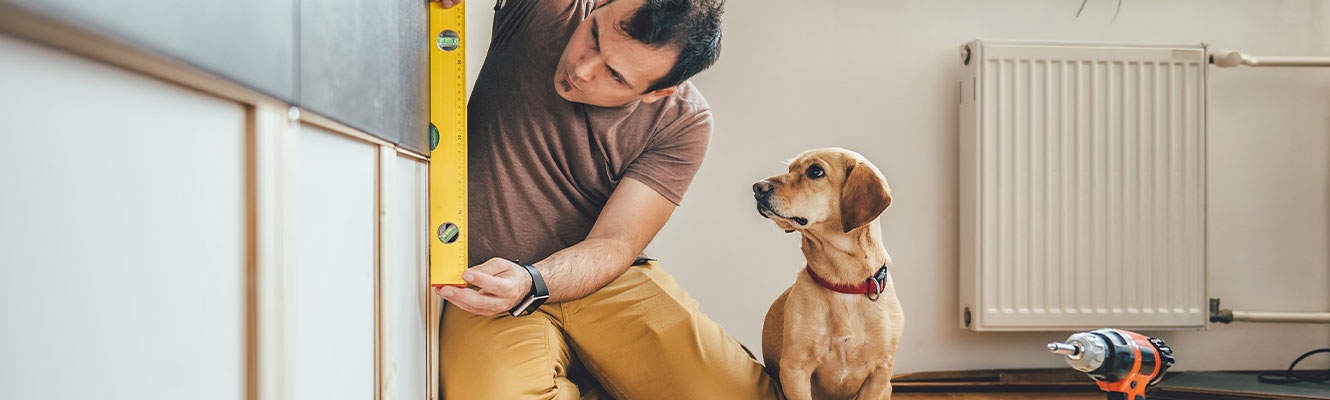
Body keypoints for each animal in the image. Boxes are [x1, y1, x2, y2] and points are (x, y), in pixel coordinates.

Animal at [755, 148, 899, 396]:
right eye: (790, 168)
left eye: (815, 171)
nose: (757, 187)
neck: (843, 283)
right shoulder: (795, 369)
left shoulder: (880, 374)